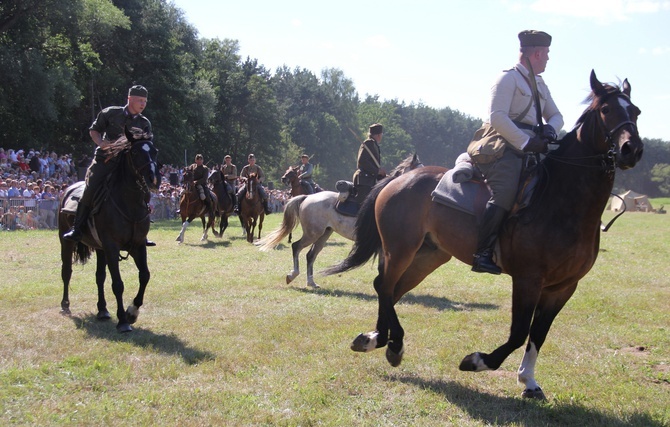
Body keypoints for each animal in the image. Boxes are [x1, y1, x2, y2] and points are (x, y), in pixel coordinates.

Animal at [58, 129, 161, 332]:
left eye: (154, 151)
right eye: (135, 152)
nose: (153, 179)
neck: (128, 202)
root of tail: (68, 189)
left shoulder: (138, 246)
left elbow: (144, 276)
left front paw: (132, 312)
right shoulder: (112, 247)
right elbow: (118, 284)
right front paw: (122, 320)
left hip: (100, 249)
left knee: (100, 277)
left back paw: (103, 310)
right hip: (66, 242)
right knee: (66, 271)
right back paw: (65, 305)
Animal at [260, 152, 422, 290]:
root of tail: (307, 198)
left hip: (324, 234)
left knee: (310, 255)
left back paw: (311, 282)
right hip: (313, 233)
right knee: (296, 247)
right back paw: (292, 274)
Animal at [326, 71, 644, 402]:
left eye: (635, 111)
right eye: (606, 110)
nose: (631, 149)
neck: (563, 203)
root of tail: (400, 178)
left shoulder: (563, 288)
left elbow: (538, 334)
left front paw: (529, 382)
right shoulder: (528, 280)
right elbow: (519, 333)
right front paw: (477, 361)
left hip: (428, 256)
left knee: (390, 289)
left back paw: (378, 339)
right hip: (400, 249)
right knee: (384, 285)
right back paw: (393, 341)